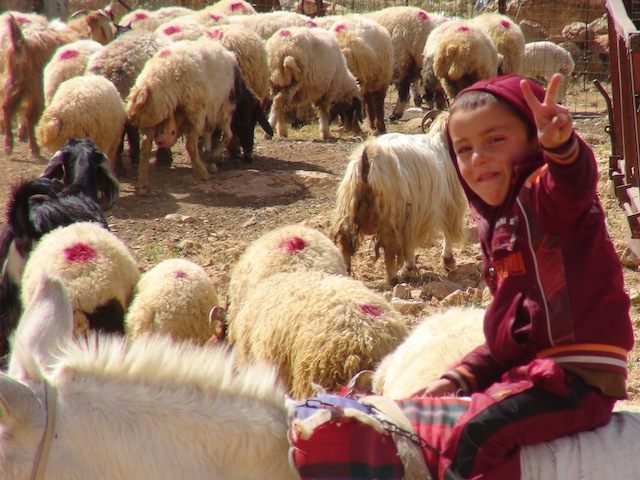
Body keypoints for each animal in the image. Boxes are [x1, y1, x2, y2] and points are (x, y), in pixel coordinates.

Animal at [127, 39, 240, 192]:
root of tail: (146, 85)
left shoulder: (212, 111)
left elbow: (210, 134)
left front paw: (210, 158)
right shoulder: (223, 108)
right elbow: (227, 135)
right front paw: (212, 157)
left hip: (153, 117)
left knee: (144, 149)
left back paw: (144, 185)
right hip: (195, 111)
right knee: (190, 145)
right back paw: (202, 173)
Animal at [332, 112, 468, 284]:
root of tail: (366, 160)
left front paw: (411, 267)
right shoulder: (449, 203)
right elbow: (447, 231)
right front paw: (447, 261)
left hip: (349, 205)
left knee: (345, 237)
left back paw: (346, 271)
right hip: (391, 213)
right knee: (389, 244)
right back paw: (392, 277)